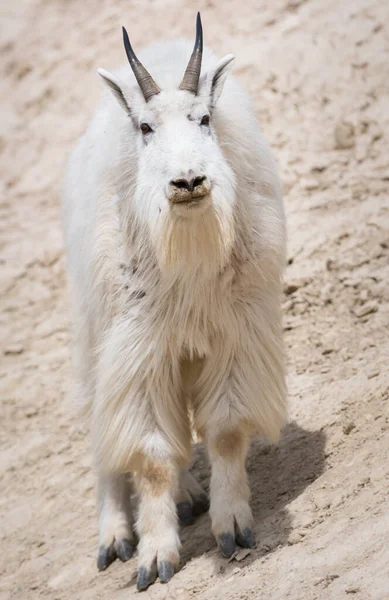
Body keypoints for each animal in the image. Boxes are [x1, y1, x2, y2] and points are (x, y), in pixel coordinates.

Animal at [59, 12, 284, 592]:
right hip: (94, 337)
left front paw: (232, 528)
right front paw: (155, 557)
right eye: (145, 128)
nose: (188, 181)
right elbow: (152, 455)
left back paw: (189, 496)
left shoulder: (233, 335)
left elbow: (224, 433)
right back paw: (115, 534)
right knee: (103, 442)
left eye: (204, 118)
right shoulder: (137, 347)